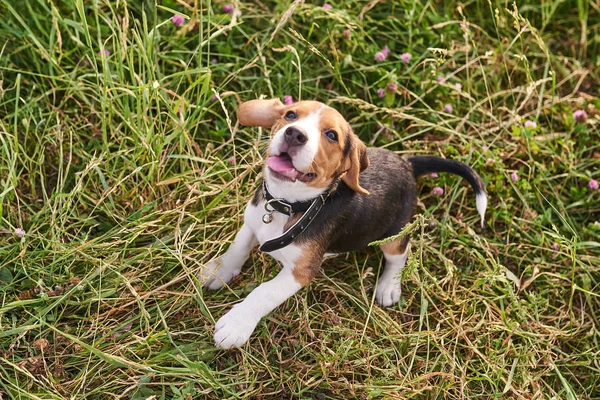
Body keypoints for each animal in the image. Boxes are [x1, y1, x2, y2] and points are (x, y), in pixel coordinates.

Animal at [203, 98, 488, 348]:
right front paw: (218, 271)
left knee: (399, 254)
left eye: (331, 135)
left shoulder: (301, 272)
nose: (294, 134)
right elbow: (238, 248)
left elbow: (264, 292)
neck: (287, 205)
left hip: (394, 233)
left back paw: (389, 286)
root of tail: (407, 164)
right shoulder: (252, 221)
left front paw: (237, 324)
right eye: (291, 115)